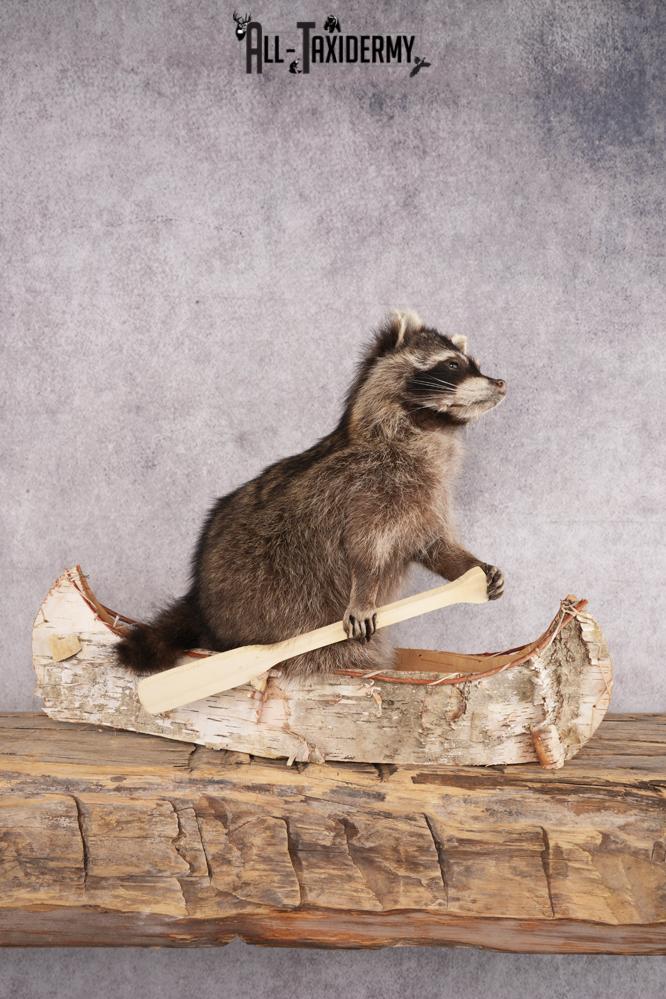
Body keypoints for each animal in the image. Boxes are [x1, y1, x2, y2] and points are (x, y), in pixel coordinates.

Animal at [116, 310, 507, 677]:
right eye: (453, 365)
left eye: (475, 364)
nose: (501, 383)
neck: (428, 428)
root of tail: (200, 606)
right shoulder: (366, 489)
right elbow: (363, 549)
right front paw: (363, 591)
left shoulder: (428, 498)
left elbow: (435, 546)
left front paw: (472, 566)